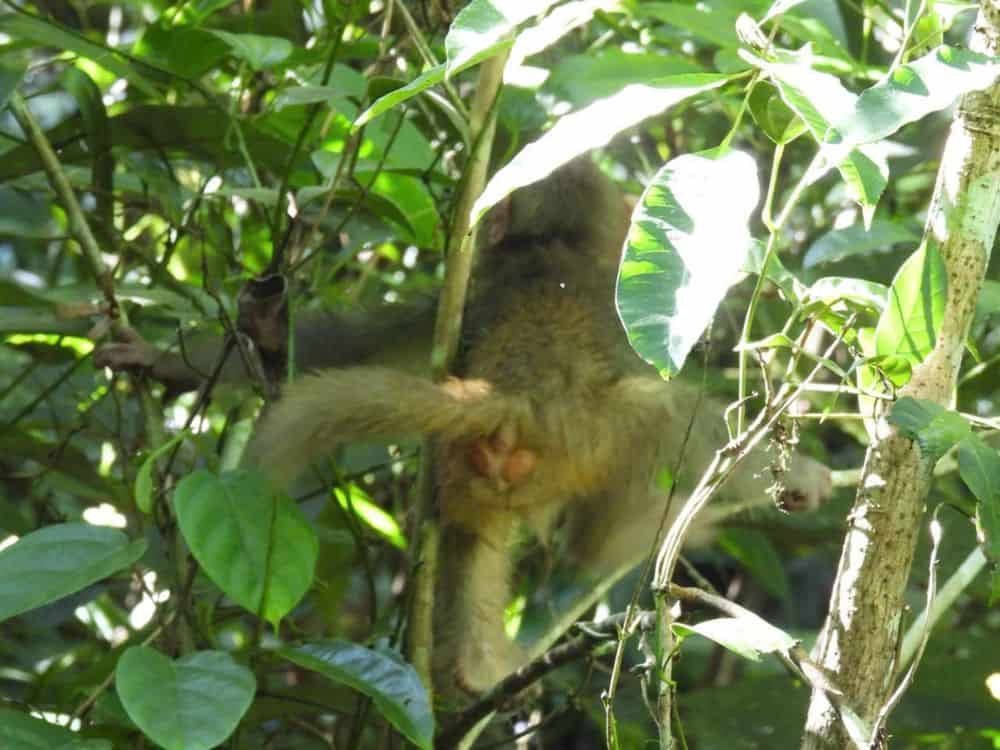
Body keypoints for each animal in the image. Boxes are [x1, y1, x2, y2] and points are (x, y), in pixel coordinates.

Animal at [96, 157, 832, 702]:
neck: (555, 245)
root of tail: (512, 403)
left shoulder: (472, 290)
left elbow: (372, 343)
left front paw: (191, 352)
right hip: (593, 437)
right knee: (670, 418)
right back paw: (622, 546)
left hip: (476, 469)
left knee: (467, 535)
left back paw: (488, 655)